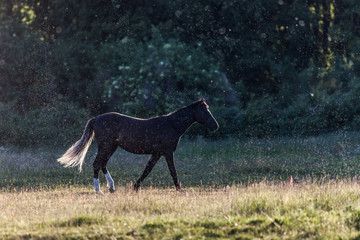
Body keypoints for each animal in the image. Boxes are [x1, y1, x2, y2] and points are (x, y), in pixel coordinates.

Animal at [57, 98, 218, 194]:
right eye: (205, 110)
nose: (216, 126)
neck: (172, 125)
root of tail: (96, 118)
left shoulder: (157, 153)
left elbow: (147, 170)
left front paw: (135, 187)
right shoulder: (167, 152)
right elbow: (172, 171)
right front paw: (180, 190)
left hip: (111, 147)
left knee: (103, 164)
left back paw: (112, 188)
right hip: (105, 146)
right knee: (97, 164)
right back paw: (99, 190)